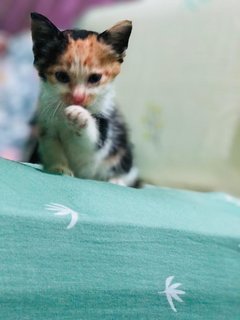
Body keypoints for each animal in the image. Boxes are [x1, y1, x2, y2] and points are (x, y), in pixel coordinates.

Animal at [31, 13, 139, 188]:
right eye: (61, 76)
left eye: (95, 78)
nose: (78, 97)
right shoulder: (47, 127)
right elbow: (53, 148)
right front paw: (59, 168)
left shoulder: (103, 130)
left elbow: (88, 145)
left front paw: (79, 115)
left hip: (122, 153)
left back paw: (117, 180)